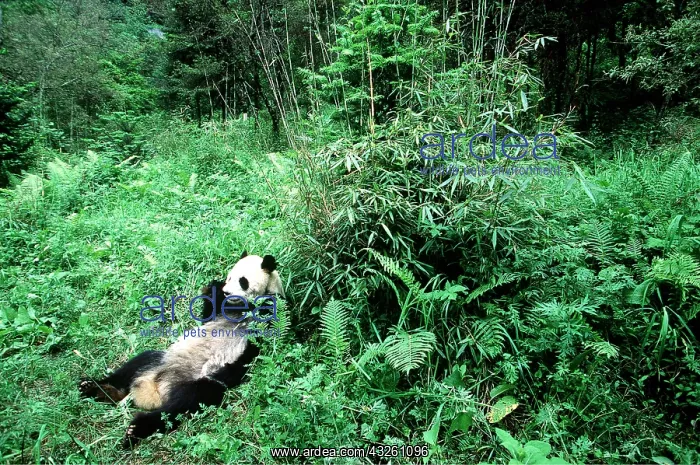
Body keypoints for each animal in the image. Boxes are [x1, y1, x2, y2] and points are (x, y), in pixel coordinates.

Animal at [78, 251, 285, 448]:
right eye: (229, 277)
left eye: (243, 281)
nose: (227, 291)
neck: (240, 308)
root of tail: (155, 391)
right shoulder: (219, 312)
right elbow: (207, 315)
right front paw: (214, 287)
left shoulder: (273, 310)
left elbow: (265, 332)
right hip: (160, 360)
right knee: (134, 365)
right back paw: (96, 388)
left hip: (200, 383)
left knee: (184, 403)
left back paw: (136, 428)